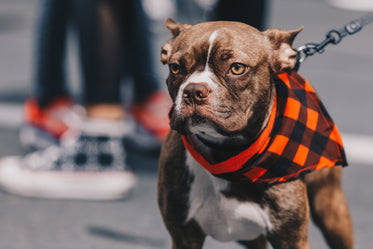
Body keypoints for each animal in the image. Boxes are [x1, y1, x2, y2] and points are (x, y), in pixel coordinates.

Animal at [156, 19, 352, 249]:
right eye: (175, 68)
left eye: (237, 68)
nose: (194, 90)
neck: (225, 153)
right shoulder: (184, 236)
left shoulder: (291, 238)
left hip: (330, 206)